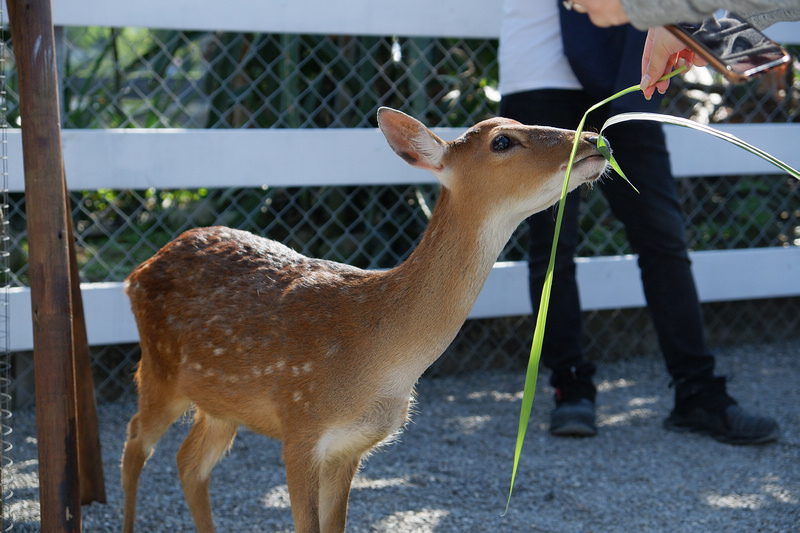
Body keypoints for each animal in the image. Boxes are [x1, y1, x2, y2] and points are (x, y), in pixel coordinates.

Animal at [120, 106, 608, 528]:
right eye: (503, 140)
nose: (595, 140)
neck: (377, 356)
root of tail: (135, 272)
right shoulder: (300, 426)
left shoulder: (349, 448)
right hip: (159, 368)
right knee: (134, 442)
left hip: (220, 402)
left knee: (189, 461)